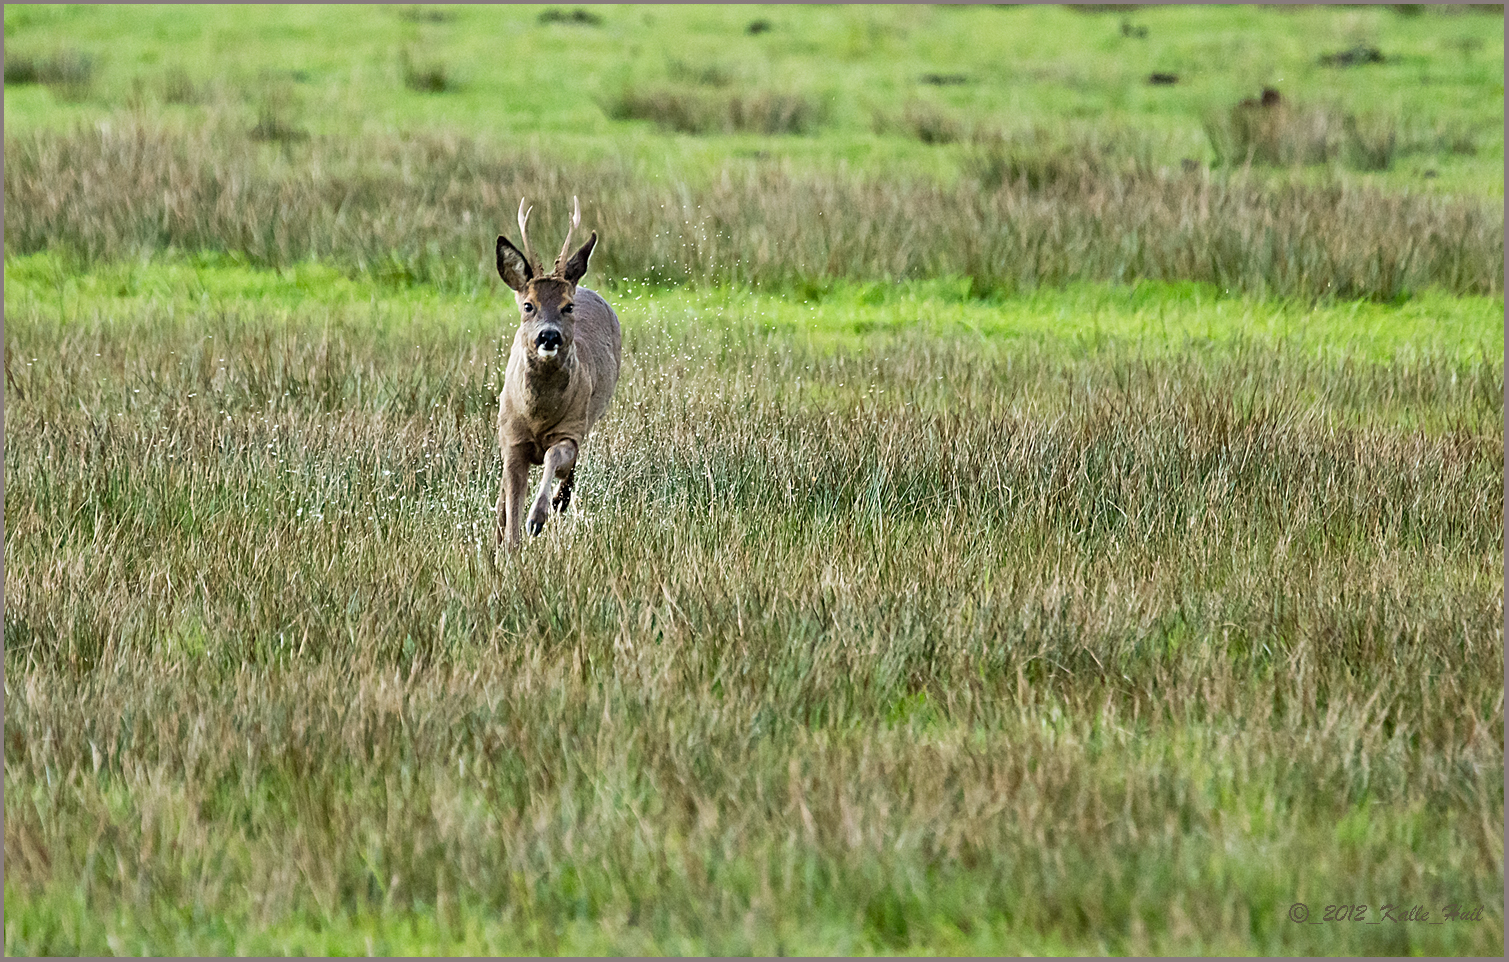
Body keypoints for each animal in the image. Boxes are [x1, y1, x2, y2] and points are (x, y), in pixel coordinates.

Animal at [491, 197, 615, 548]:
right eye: (528, 305)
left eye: (567, 306)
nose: (549, 336)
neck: (538, 418)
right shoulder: (511, 440)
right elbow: (511, 502)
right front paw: (510, 544)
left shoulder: (570, 428)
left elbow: (554, 458)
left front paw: (537, 518)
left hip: (588, 417)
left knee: (568, 467)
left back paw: (561, 500)